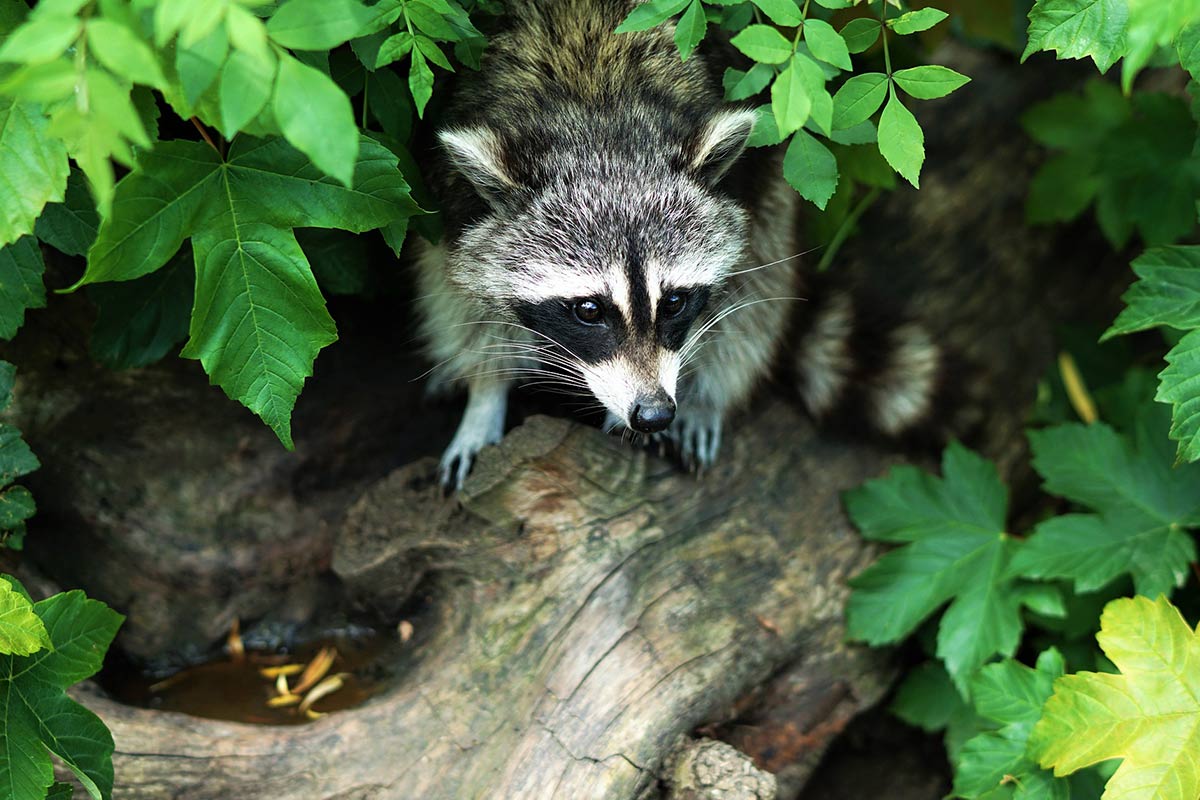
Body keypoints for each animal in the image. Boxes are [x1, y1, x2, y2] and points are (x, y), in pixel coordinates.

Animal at [417, 0, 940, 489]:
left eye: (673, 302)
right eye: (588, 310)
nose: (653, 413)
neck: (598, 121)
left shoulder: (741, 185)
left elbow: (745, 291)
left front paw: (698, 396)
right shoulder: (456, 206)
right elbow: (462, 300)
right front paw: (485, 395)